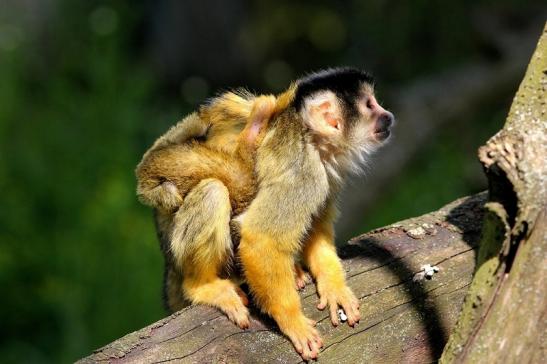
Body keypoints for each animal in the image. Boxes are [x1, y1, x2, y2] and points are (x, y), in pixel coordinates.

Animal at [136, 68, 394, 362]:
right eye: (370, 105)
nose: (388, 115)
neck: (311, 138)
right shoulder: (304, 172)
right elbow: (261, 238)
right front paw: (292, 321)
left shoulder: (325, 176)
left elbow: (315, 228)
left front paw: (333, 285)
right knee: (213, 190)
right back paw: (202, 285)